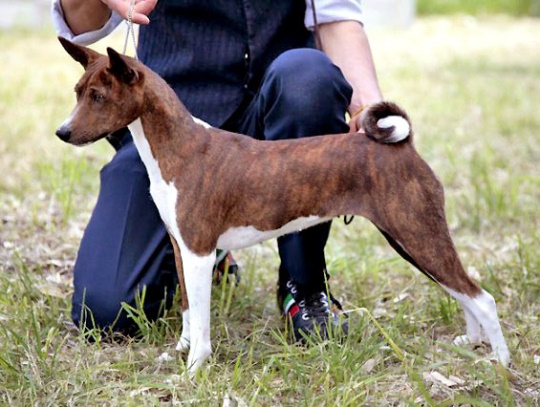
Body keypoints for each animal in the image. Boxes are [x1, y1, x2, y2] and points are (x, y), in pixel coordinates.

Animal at [57, 37, 508, 372]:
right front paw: (181, 350)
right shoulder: (180, 248)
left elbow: (202, 321)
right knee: (461, 292)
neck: (178, 149)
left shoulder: (200, 252)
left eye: (98, 96)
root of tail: (403, 145)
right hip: (413, 237)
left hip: (415, 232)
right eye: (78, 93)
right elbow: (187, 309)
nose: (63, 132)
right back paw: (470, 343)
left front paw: (195, 368)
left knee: (480, 296)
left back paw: (499, 362)